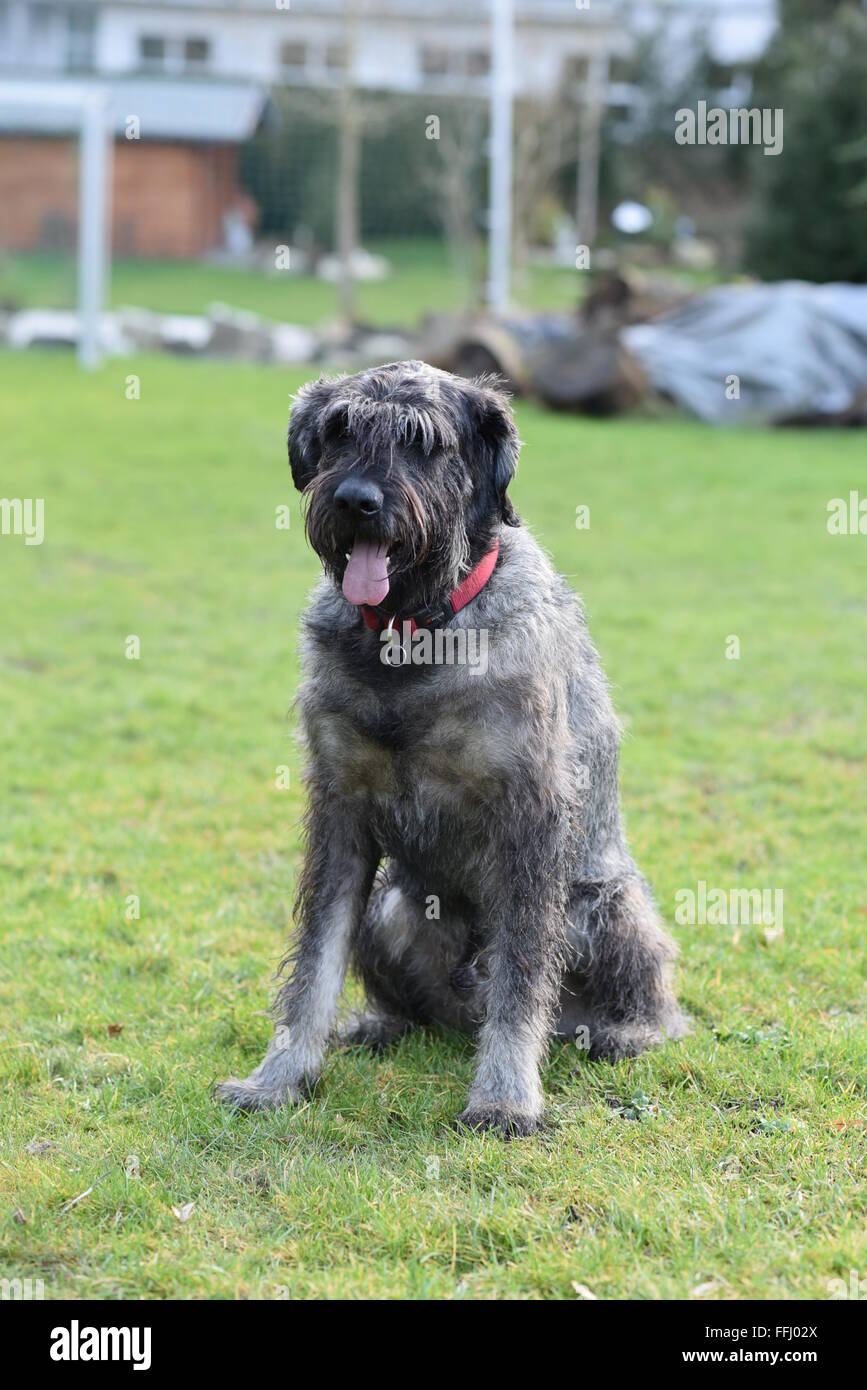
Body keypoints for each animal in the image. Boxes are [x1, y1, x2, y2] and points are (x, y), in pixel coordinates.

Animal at [218, 361, 691, 1139]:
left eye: (423, 441)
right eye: (338, 430)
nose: (356, 500)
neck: (412, 639)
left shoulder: (531, 817)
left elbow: (521, 974)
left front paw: (504, 1097)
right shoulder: (340, 813)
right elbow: (315, 960)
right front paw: (279, 1079)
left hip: (603, 906)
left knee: (645, 1005)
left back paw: (625, 1032)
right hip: (388, 904)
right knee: (417, 1005)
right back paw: (380, 1024)